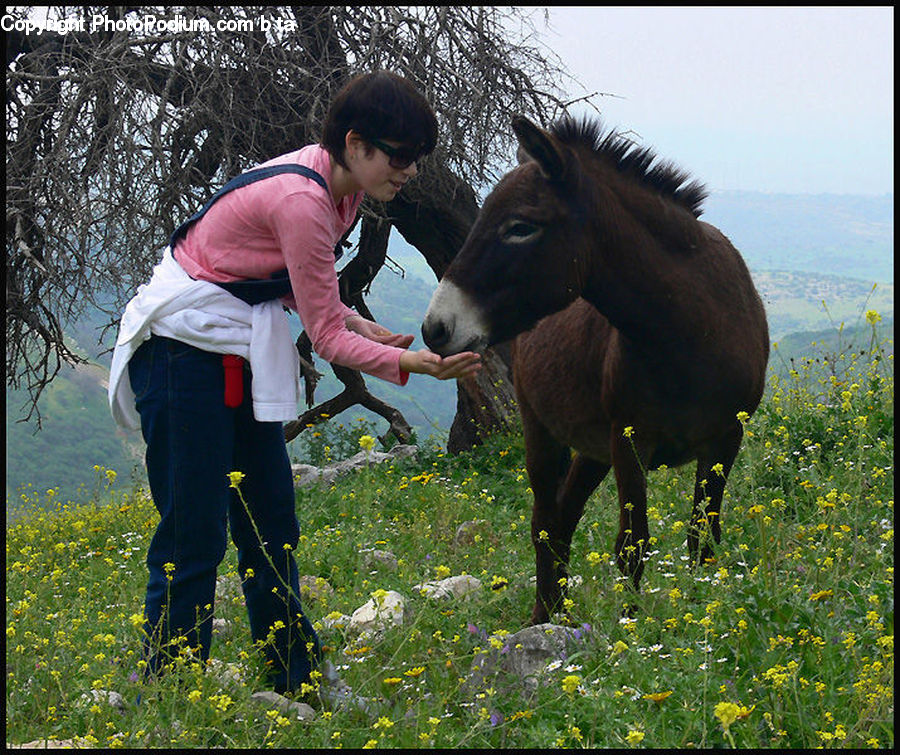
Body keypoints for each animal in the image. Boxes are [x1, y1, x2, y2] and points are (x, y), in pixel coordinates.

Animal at [422, 115, 769, 624]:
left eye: (520, 227)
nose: (434, 329)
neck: (689, 331)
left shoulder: (726, 437)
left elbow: (702, 537)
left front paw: (701, 610)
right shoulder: (630, 440)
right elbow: (632, 543)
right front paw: (633, 628)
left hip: (593, 449)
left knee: (564, 517)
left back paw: (558, 614)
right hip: (541, 428)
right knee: (545, 523)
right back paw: (544, 619)